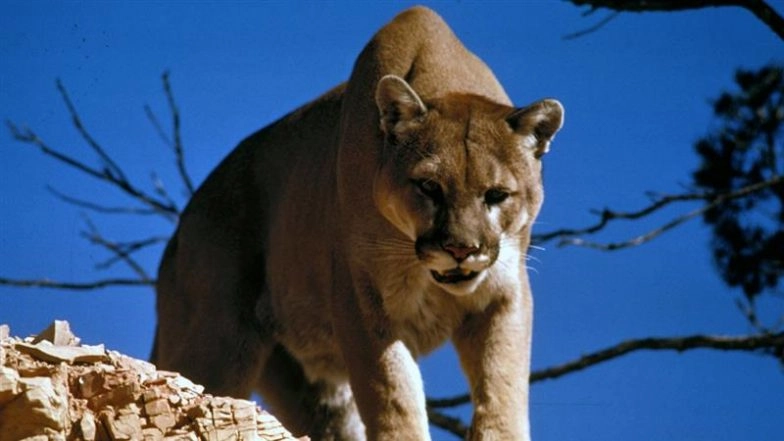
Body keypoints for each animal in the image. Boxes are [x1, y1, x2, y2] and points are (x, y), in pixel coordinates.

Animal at [154, 6, 563, 441]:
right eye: (429, 187)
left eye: (497, 195)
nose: (461, 249)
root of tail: (180, 230)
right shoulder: (361, 300)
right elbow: (393, 393)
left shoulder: (504, 294)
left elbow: (502, 387)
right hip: (217, 342)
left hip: (310, 387)